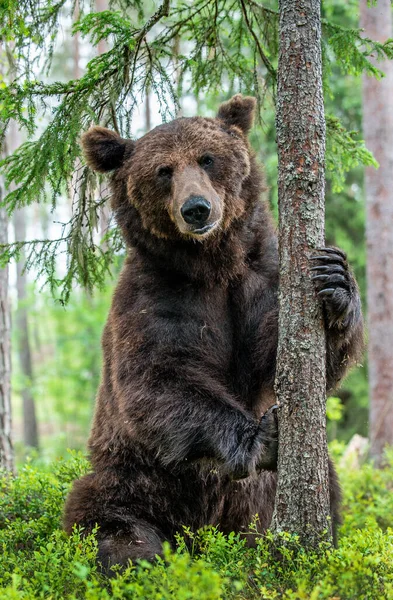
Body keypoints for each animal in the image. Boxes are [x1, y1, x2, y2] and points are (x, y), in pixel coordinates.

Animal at [63, 94, 362, 572]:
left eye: (208, 158)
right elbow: (158, 378)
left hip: (264, 499)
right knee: (110, 527)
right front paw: (264, 435)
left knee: (330, 497)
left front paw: (335, 282)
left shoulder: (261, 277)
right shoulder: (158, 296)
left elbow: (285, 358)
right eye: (163, 170)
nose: (197, 209)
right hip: (134, 479)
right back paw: (141, 560)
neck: (211, 264)